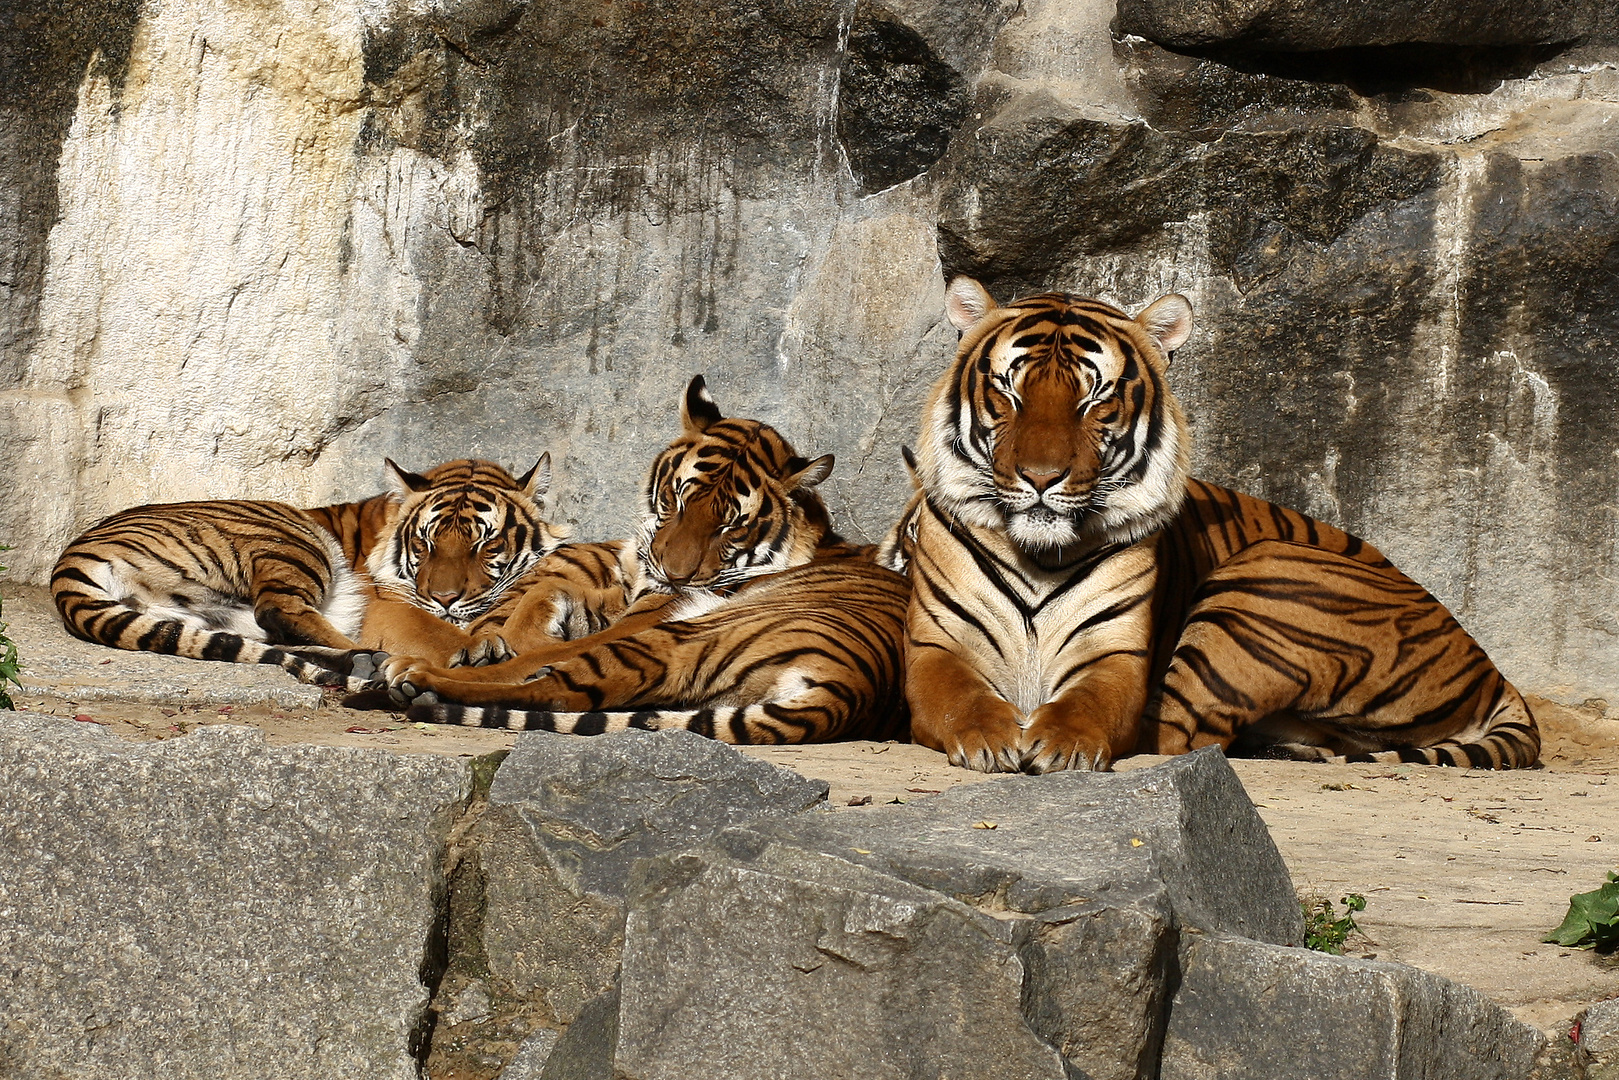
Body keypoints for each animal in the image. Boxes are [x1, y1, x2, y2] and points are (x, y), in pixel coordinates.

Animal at [52, 456, 569, 693]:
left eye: (488, 544)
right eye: (424, 544)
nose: (444, 596)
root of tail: (68, 559)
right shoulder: (388, 606)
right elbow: (436, 629)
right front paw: (480, 648)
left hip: (209, 615)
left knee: (277, 635)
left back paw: (357, 664)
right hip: (291, 536)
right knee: (281, 608)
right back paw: (374, 661)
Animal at [370, 375, 919, 748]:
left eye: (731, 526)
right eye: (676, 499)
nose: (673, 574)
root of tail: (851, 690)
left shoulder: (643, 617)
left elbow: (532, 648)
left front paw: (485, 647)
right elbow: (549, 589)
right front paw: (510, 629)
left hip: (679, 636)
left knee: (555, 689)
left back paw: (414, 677)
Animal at [887, 275, 1541, 773]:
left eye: (1094, 399)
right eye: (1009, 392)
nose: (1042, 478)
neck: (1039, 554)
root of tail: (1494, 673)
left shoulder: (1115, 652)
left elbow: (1092, 705)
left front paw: (1061, 744)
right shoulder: (937, 644)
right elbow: (961, 698)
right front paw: (992, 739)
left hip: (1259, 579)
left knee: (1179, 731)